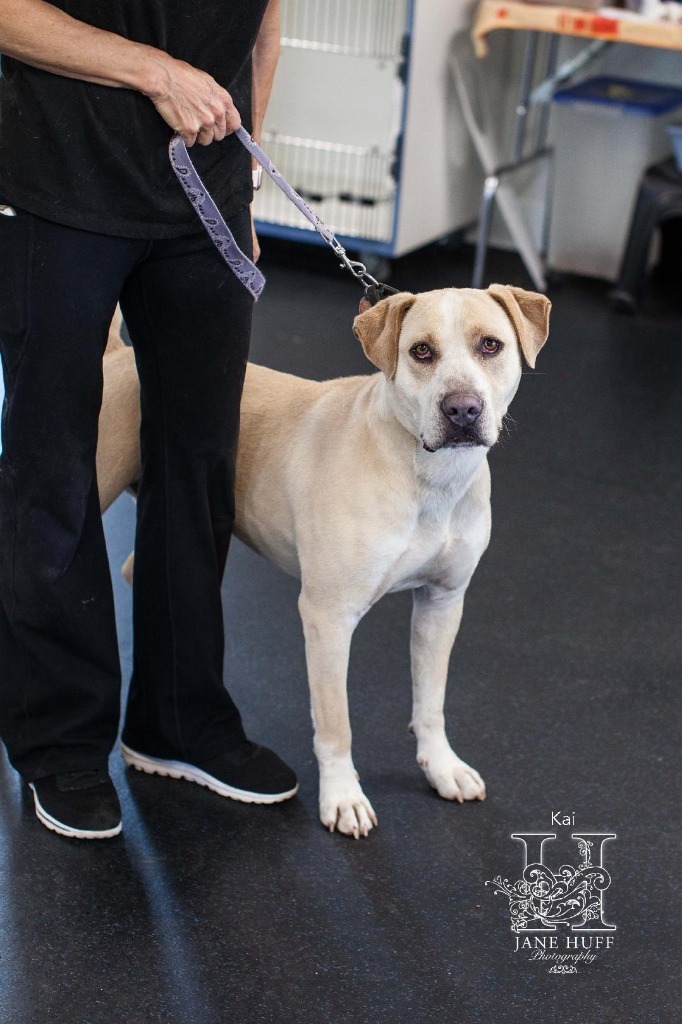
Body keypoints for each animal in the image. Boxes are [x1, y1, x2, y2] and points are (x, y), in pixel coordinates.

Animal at [98, 286, 548, 839]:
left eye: (490, 345)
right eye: (421, 351)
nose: (462, 409)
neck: (425, 475)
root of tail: (121, 357)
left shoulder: (442, 604)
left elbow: (431, 701)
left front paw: (442, 767)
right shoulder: (329, 619)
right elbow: (336, 724)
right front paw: (343, 796)